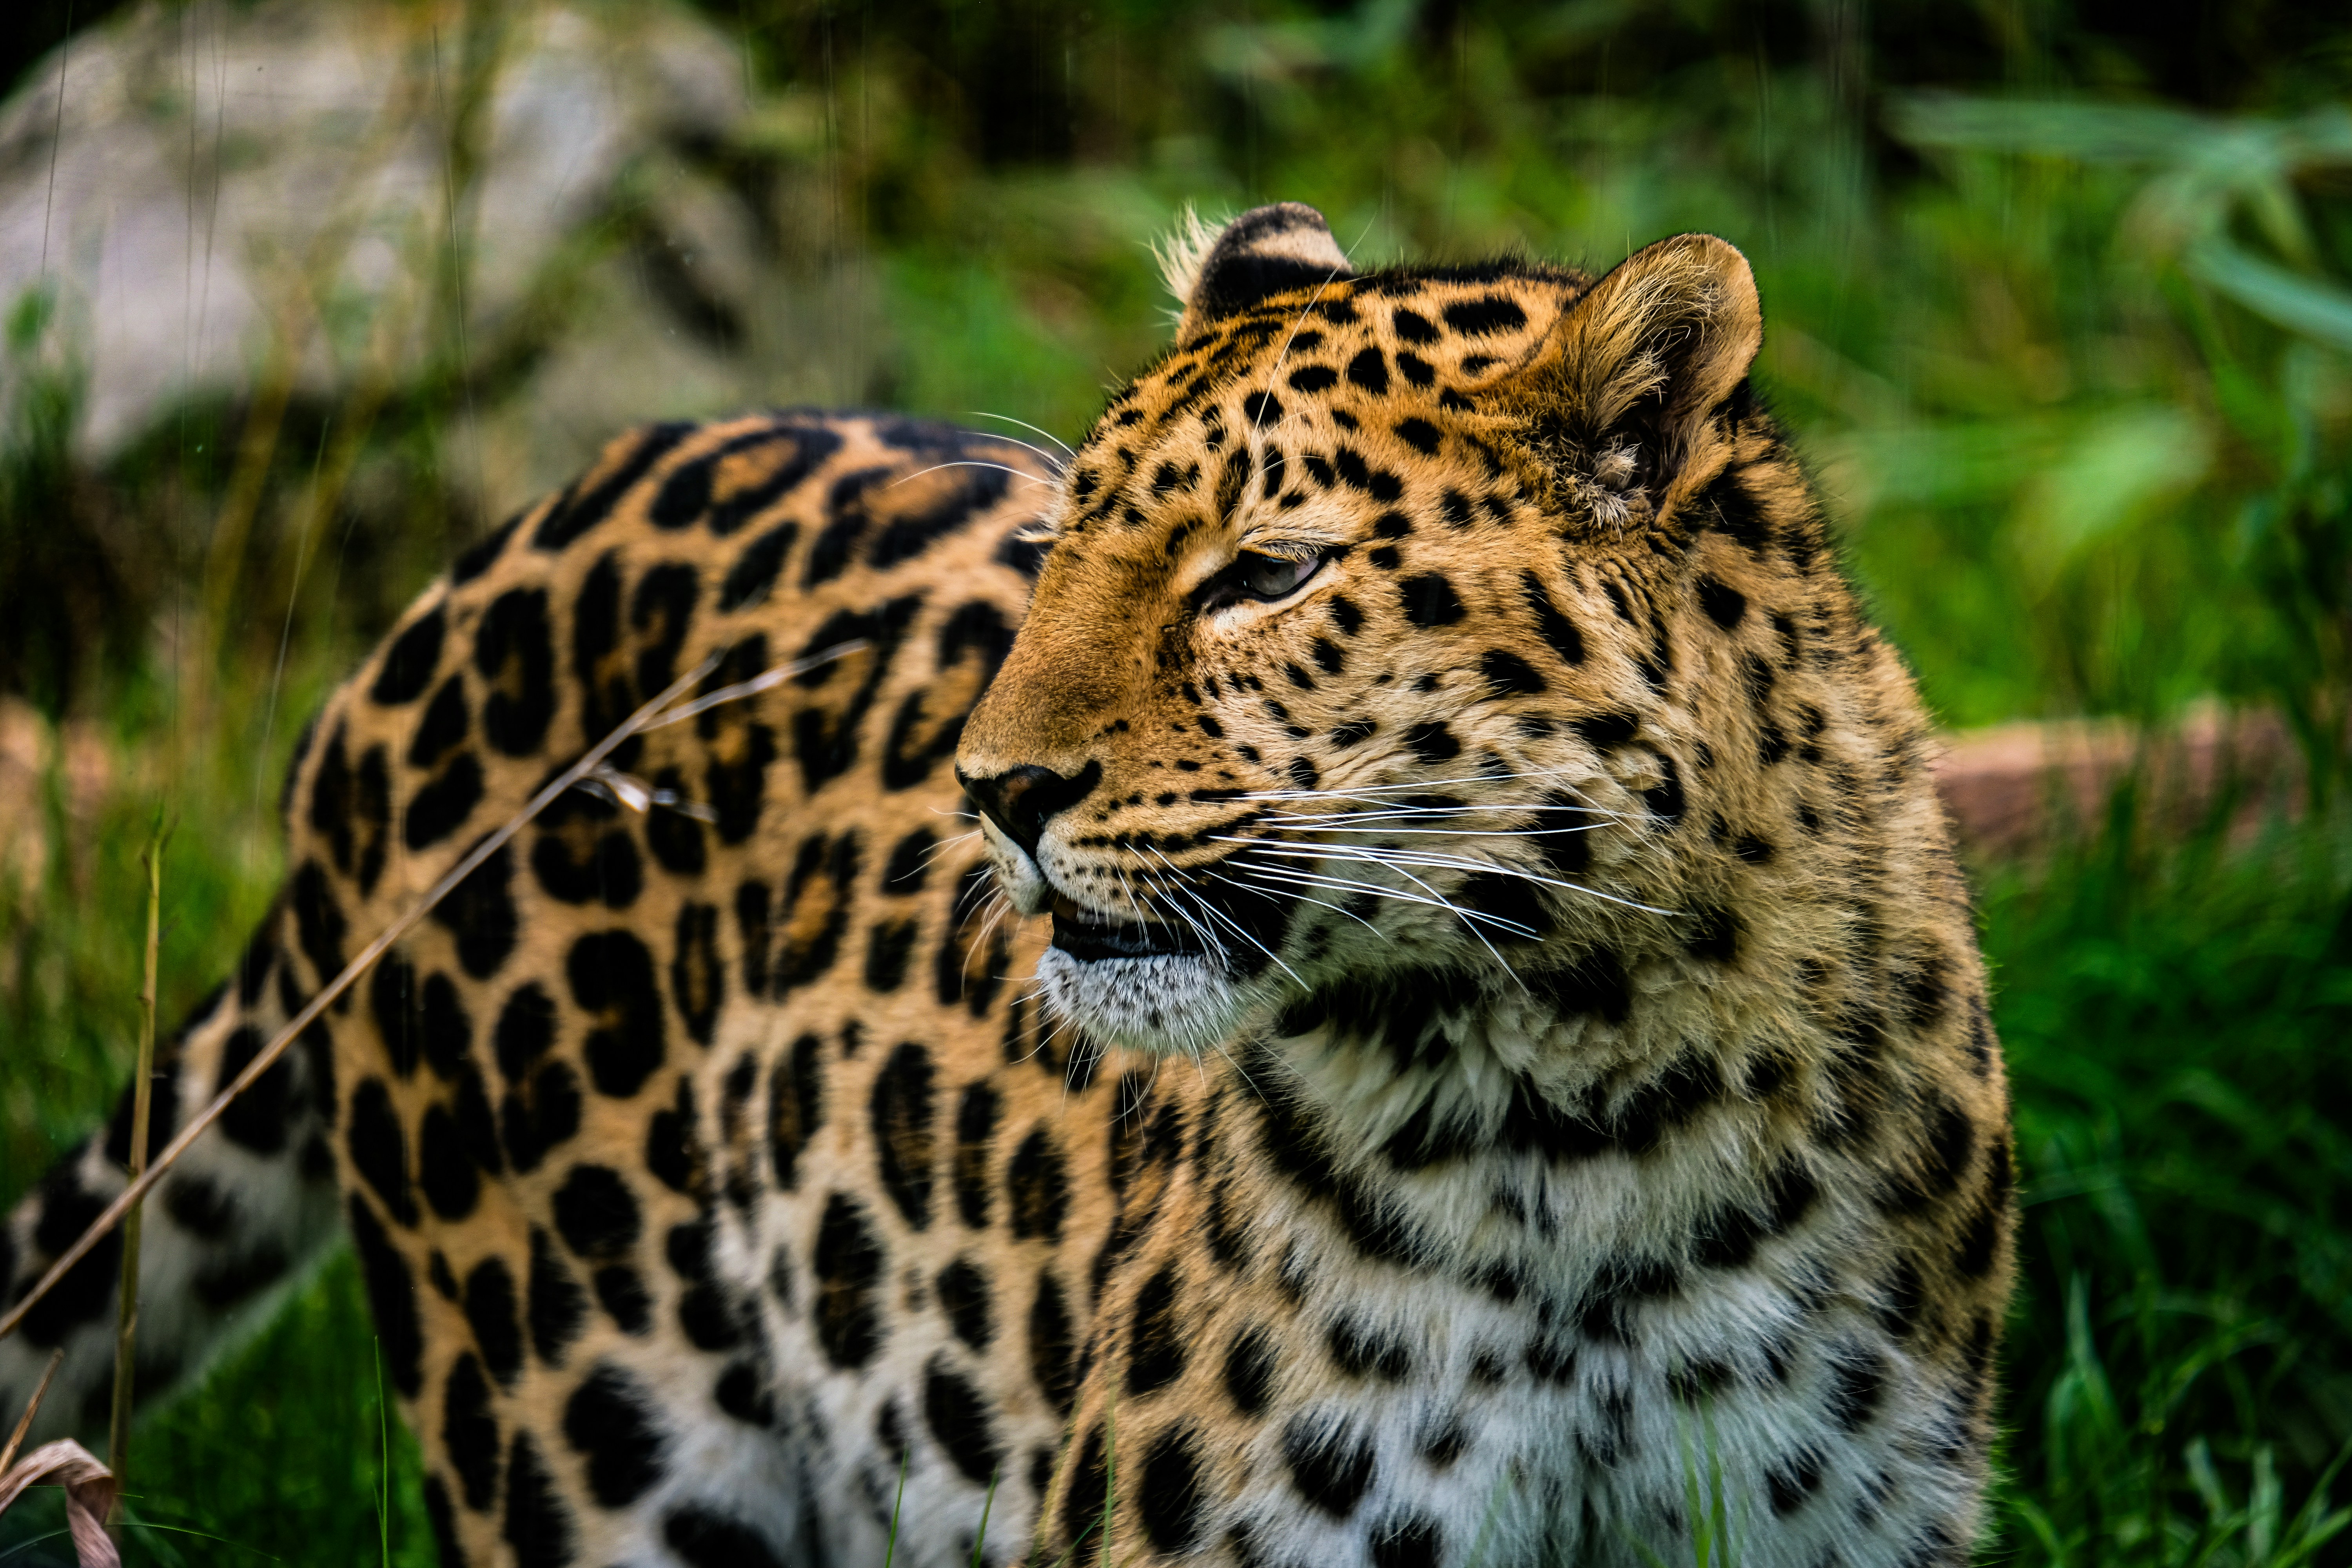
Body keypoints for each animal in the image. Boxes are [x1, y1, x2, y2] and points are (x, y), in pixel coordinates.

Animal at [1, 203, 2014, 1568]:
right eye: (1066, 547)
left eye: (1266, 572)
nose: (994, 791)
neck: (1593, 1111)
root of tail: (429, 611)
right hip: (579, 1425)